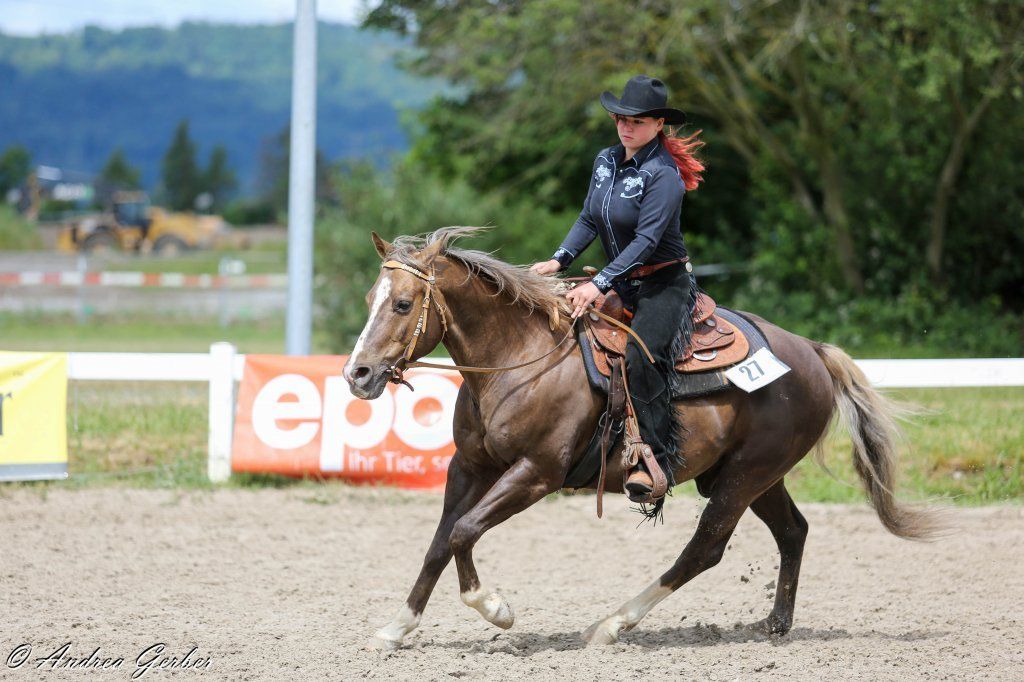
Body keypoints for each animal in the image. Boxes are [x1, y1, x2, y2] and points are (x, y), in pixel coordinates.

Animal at [342, 226, 936, 649]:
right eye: (370, 296)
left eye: (402, 304)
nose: (357, 374)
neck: (521, 358)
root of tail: (812, 351)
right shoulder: (469, 466)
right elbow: (441, 540)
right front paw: (397, 627)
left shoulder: (536, 473)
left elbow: (465, 531)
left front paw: (496, 609)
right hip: (753, 475)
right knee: (792, 532)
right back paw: (775, 625)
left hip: (745, 476)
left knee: (705, 548)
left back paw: (610, 625)